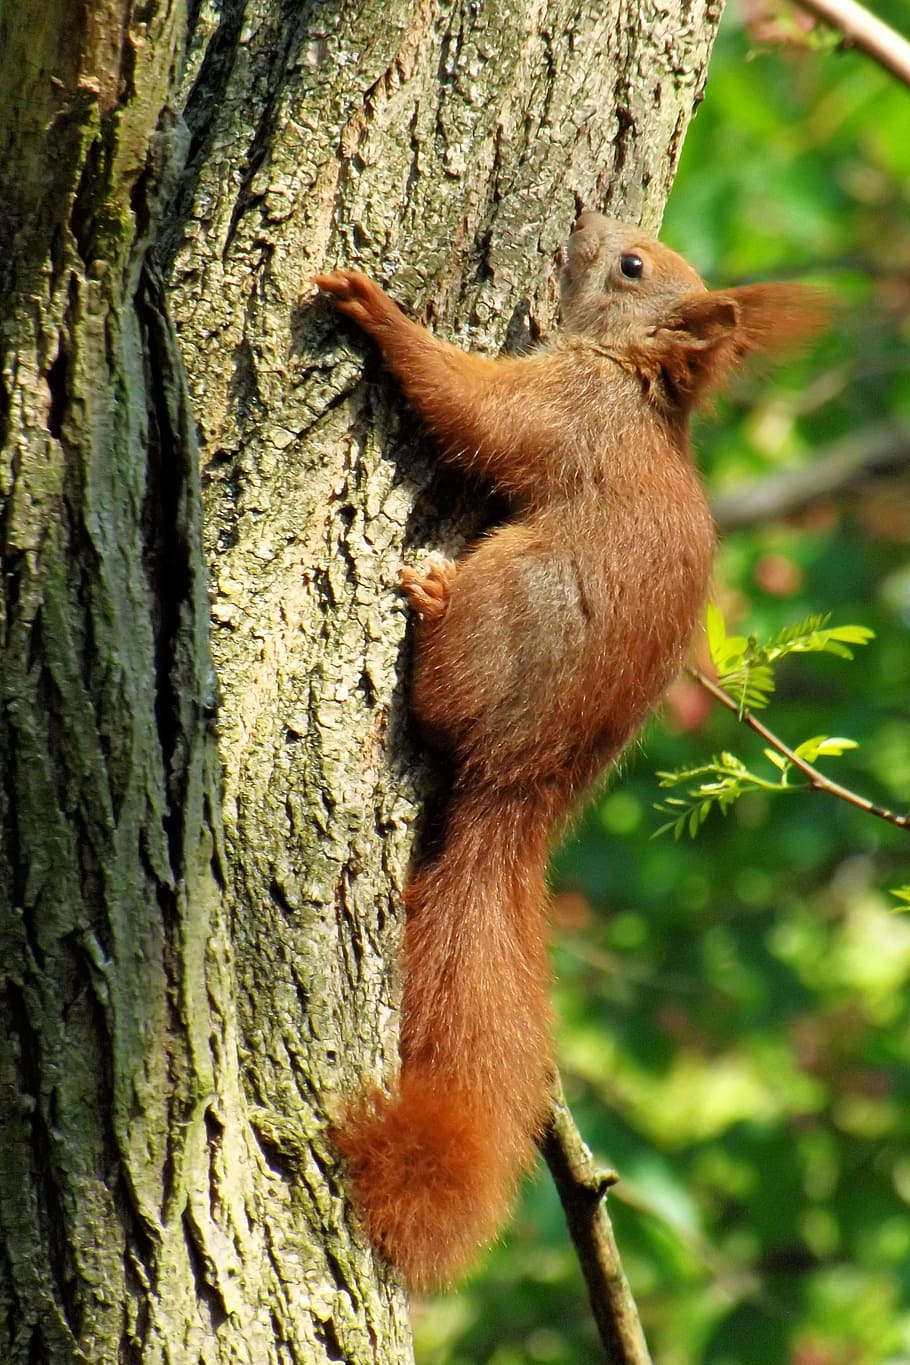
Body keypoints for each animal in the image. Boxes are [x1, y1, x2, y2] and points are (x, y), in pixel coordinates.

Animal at [314, 211, 824, 1291]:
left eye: (632, 266)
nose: (585, 220)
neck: (630, 378)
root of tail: (522, 790)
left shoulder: (555, 407)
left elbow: (470, 405)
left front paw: (378, 312)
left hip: (509, 605)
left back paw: (430, 602)